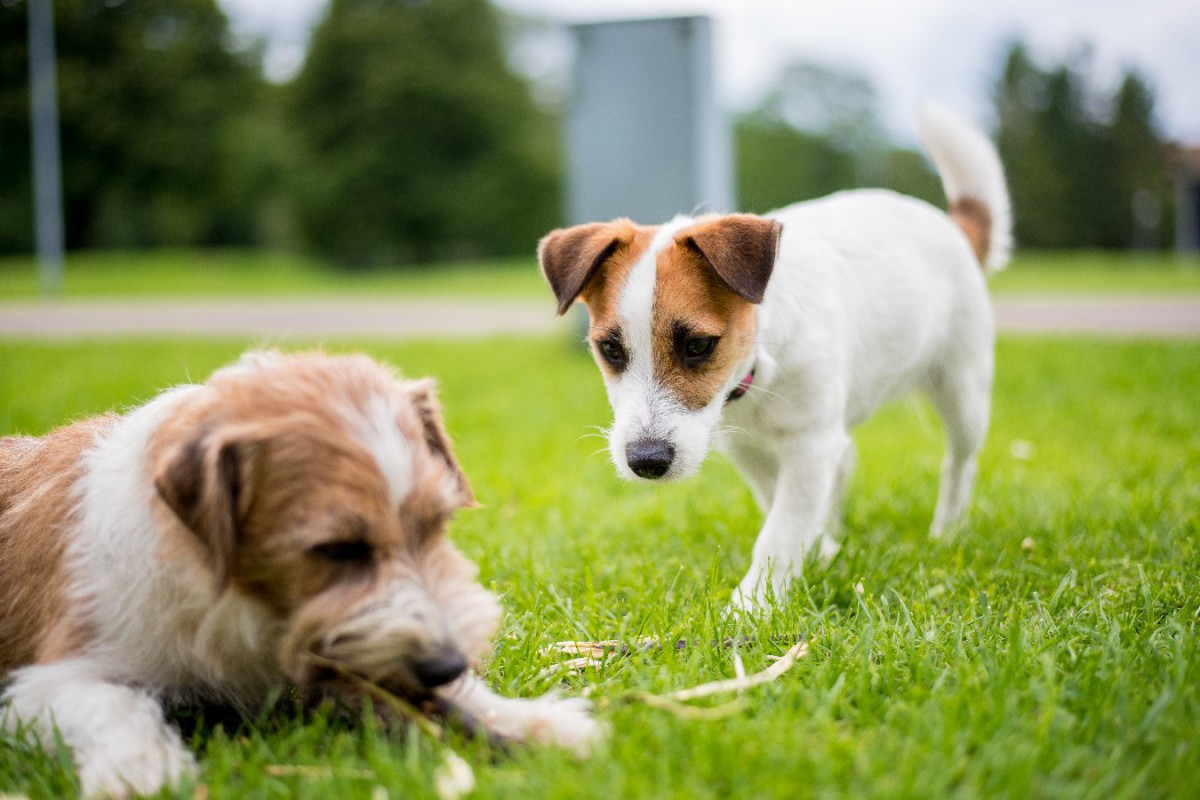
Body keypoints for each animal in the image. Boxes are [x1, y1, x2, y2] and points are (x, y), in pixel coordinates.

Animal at [0, 352, 600, 796]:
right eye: (337, 549)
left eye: (435, 523)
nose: (449, 663)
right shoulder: (46, 682)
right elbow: (116, 705)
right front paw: (145, 772)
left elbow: (451, 698)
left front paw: (529, 721)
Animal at [540, 104, 1008, 606]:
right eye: (609, 348)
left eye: (698, 345)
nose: (646, 462)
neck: (759, 374)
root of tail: (953, 226)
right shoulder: (751, 449)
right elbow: (780, 507)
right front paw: (820, 553)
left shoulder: (809, 444)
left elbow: (781, 530)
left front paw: (753, 605)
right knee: (847, 463)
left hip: (964, 391)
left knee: (959, 463)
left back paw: (947, 532)